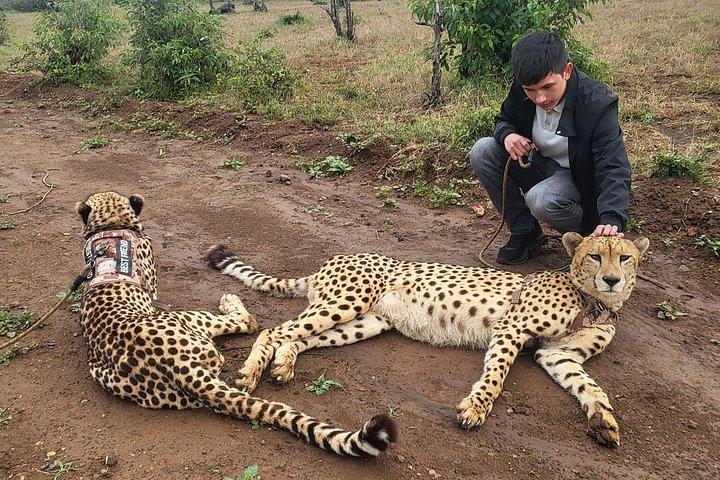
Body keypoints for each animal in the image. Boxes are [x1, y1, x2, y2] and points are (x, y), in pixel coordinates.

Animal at [205, 232, 649, 447]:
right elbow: (496, 377)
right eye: (595, 256)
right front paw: (475, 408)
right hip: (347, 301)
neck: (595, 302)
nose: (612, 279)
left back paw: (284, 364)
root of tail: (331, 261)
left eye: (625, 257)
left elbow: (592, 388)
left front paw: (604, 421)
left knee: (298, 338)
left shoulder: (559, 358)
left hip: (365, 321)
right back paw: (249, 374)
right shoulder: (511, 329)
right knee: (273, 329)